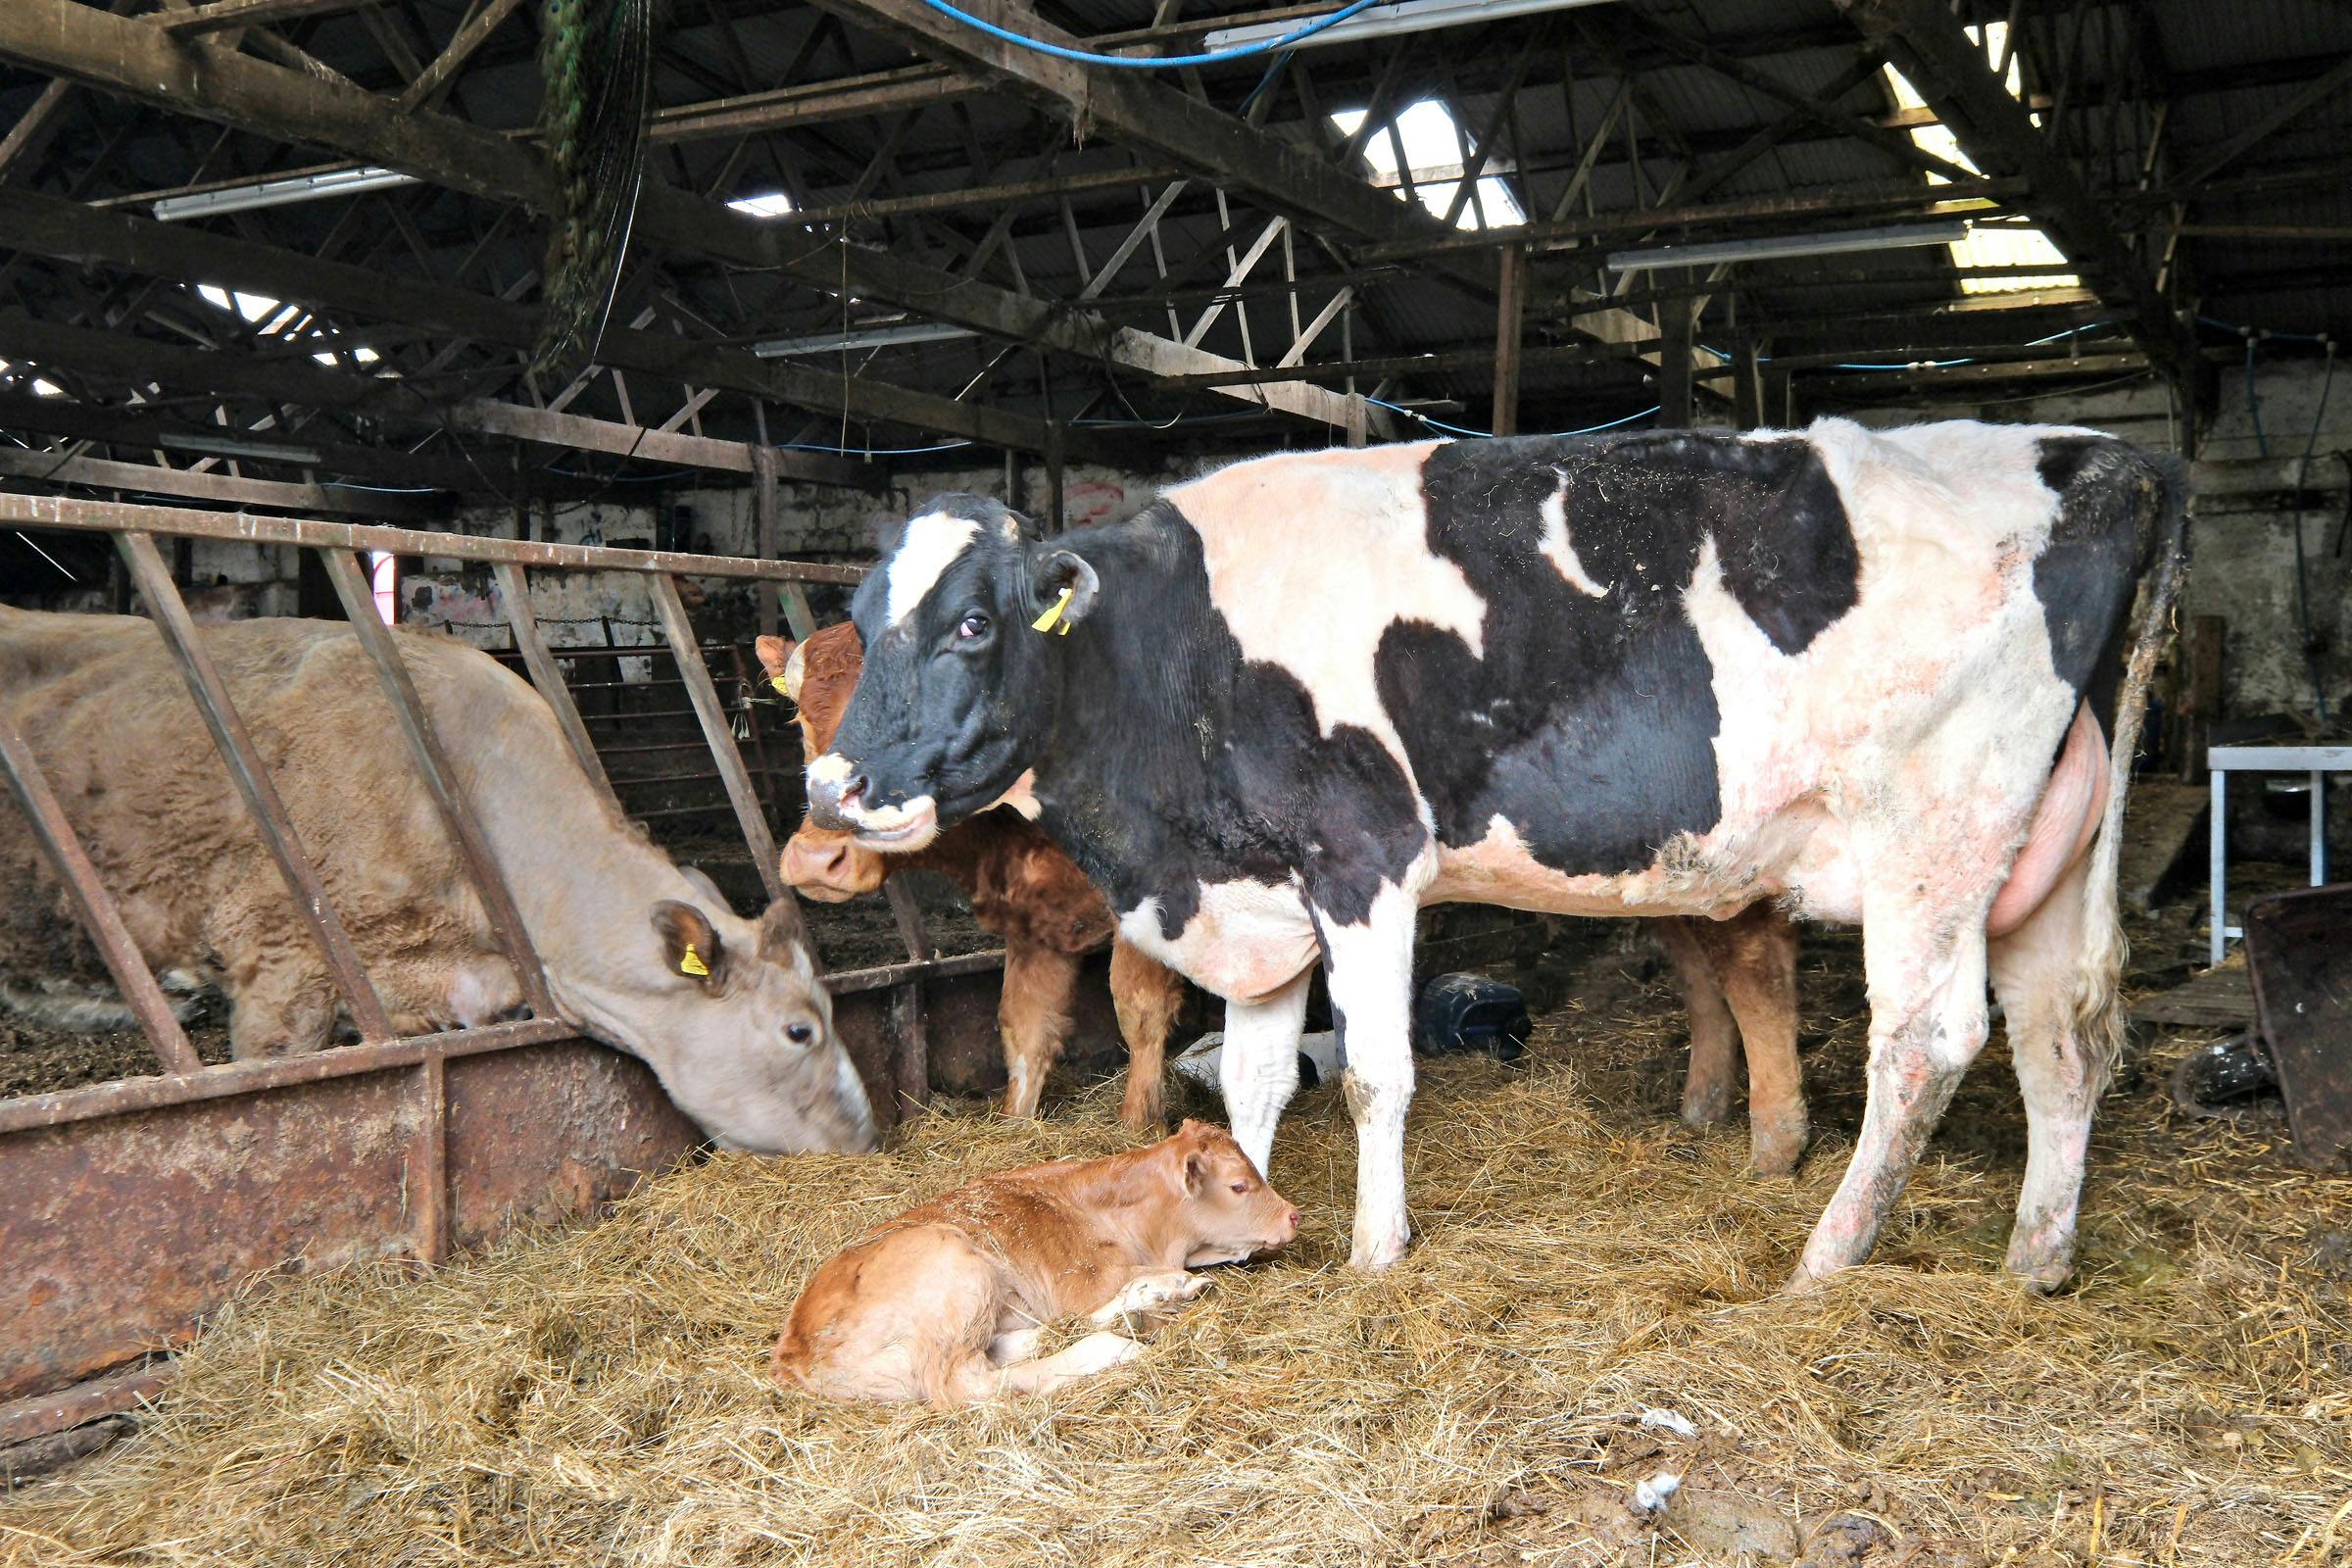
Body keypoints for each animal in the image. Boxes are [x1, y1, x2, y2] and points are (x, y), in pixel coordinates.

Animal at [771, 1118, 1297, 1404]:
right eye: (1238, 1186)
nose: (1292, 1215)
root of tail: (791, 1354)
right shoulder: (1084, 1280)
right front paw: (1172, 1289)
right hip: (956, 1267)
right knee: (966, 1381)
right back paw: (1117, 1342)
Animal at [800, 420, 2187, 1288]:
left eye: (973, 623)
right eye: (862, 620)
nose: (832, 789)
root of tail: (2105, 455)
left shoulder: (1360, 858)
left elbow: (1371, 1074)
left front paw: (1376, 1248)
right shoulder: (1263, 892)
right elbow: (1251, 1082)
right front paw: (1237, 1211)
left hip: (1931, 833)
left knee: (1929, 1040)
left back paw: (1827, 1255)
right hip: (2038, 851)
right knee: (2062, 1039)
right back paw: (2035, 1258)